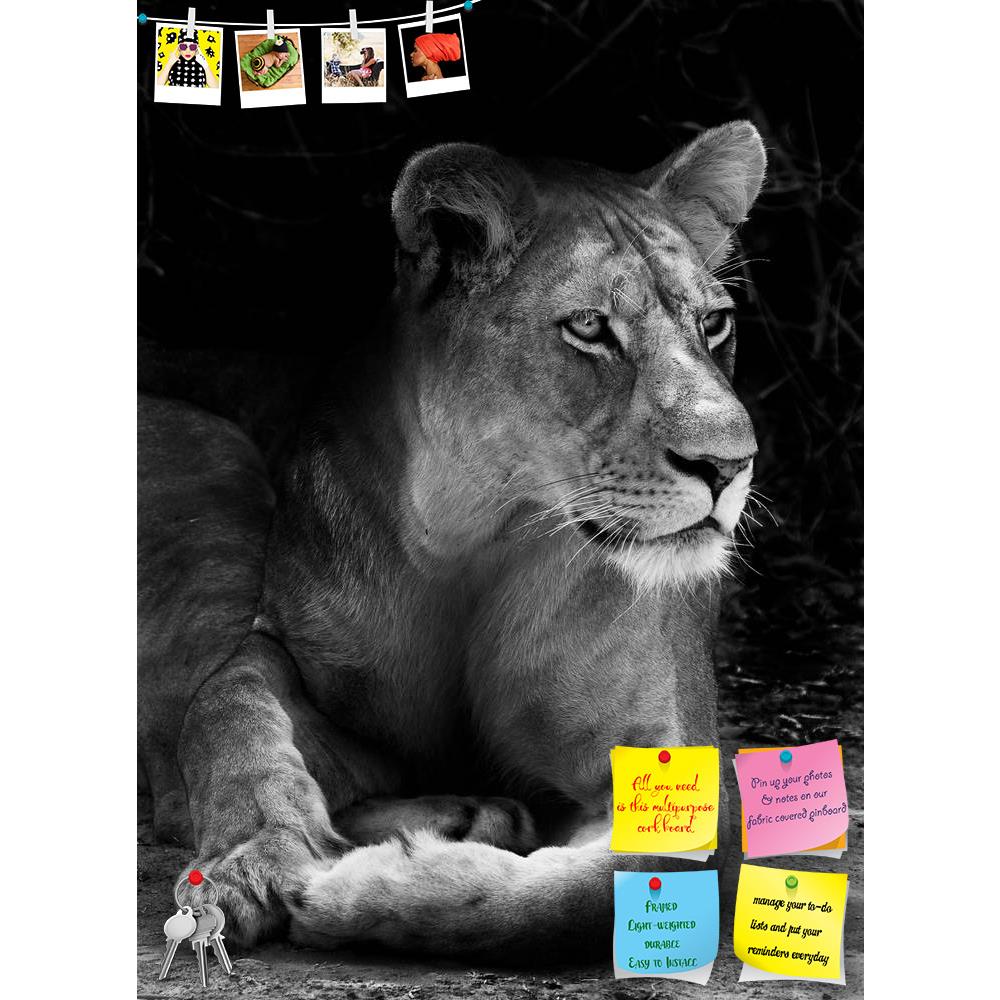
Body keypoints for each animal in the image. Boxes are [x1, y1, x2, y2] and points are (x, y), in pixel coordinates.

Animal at [138, 120, 766, 960]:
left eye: (713, 323)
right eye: (590, 327)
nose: (730, 464)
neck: (483, 538)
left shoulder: (676, 755)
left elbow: (580, 897)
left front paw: (358, 891)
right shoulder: (282, 651)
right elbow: (227, 712)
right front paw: (249, 858)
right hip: (213, 471)